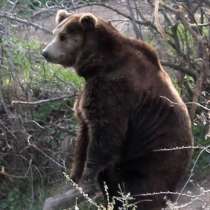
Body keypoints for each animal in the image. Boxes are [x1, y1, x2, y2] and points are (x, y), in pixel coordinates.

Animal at [42, 10, 194, 210]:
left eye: (63, 36)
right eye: (55, 33)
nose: (45, 53)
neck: (98, 63)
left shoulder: (114, 90)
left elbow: (104, 136)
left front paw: (84, 182)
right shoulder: (91, 95)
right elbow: (83, 136)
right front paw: (73, 177)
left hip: (150, 160)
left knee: (141, 188)